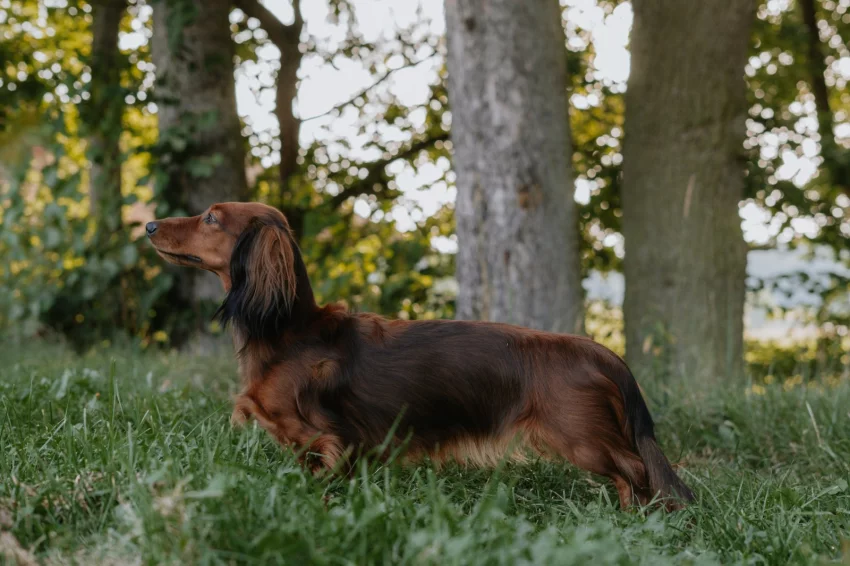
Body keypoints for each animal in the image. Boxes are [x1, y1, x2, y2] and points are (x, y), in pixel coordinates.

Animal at [144, 203, 688, 510]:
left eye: (211, 217)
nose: (148, 224)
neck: (289, 333)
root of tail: (597, 350)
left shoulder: (325, 440)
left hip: (581, 438)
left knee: (639, 470)